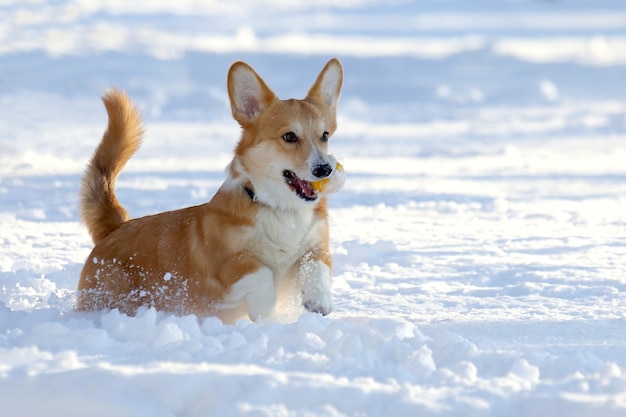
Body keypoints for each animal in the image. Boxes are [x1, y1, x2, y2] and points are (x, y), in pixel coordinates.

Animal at [77, 57, 346, 322]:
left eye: (324, 135)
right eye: (289, 136)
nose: (324, 169)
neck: (281, 210)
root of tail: (114, 228)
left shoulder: (317, 245)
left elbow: (317, 264)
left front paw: (319, 300)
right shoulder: (227, 262)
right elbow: (259, 273)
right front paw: (265, 310)